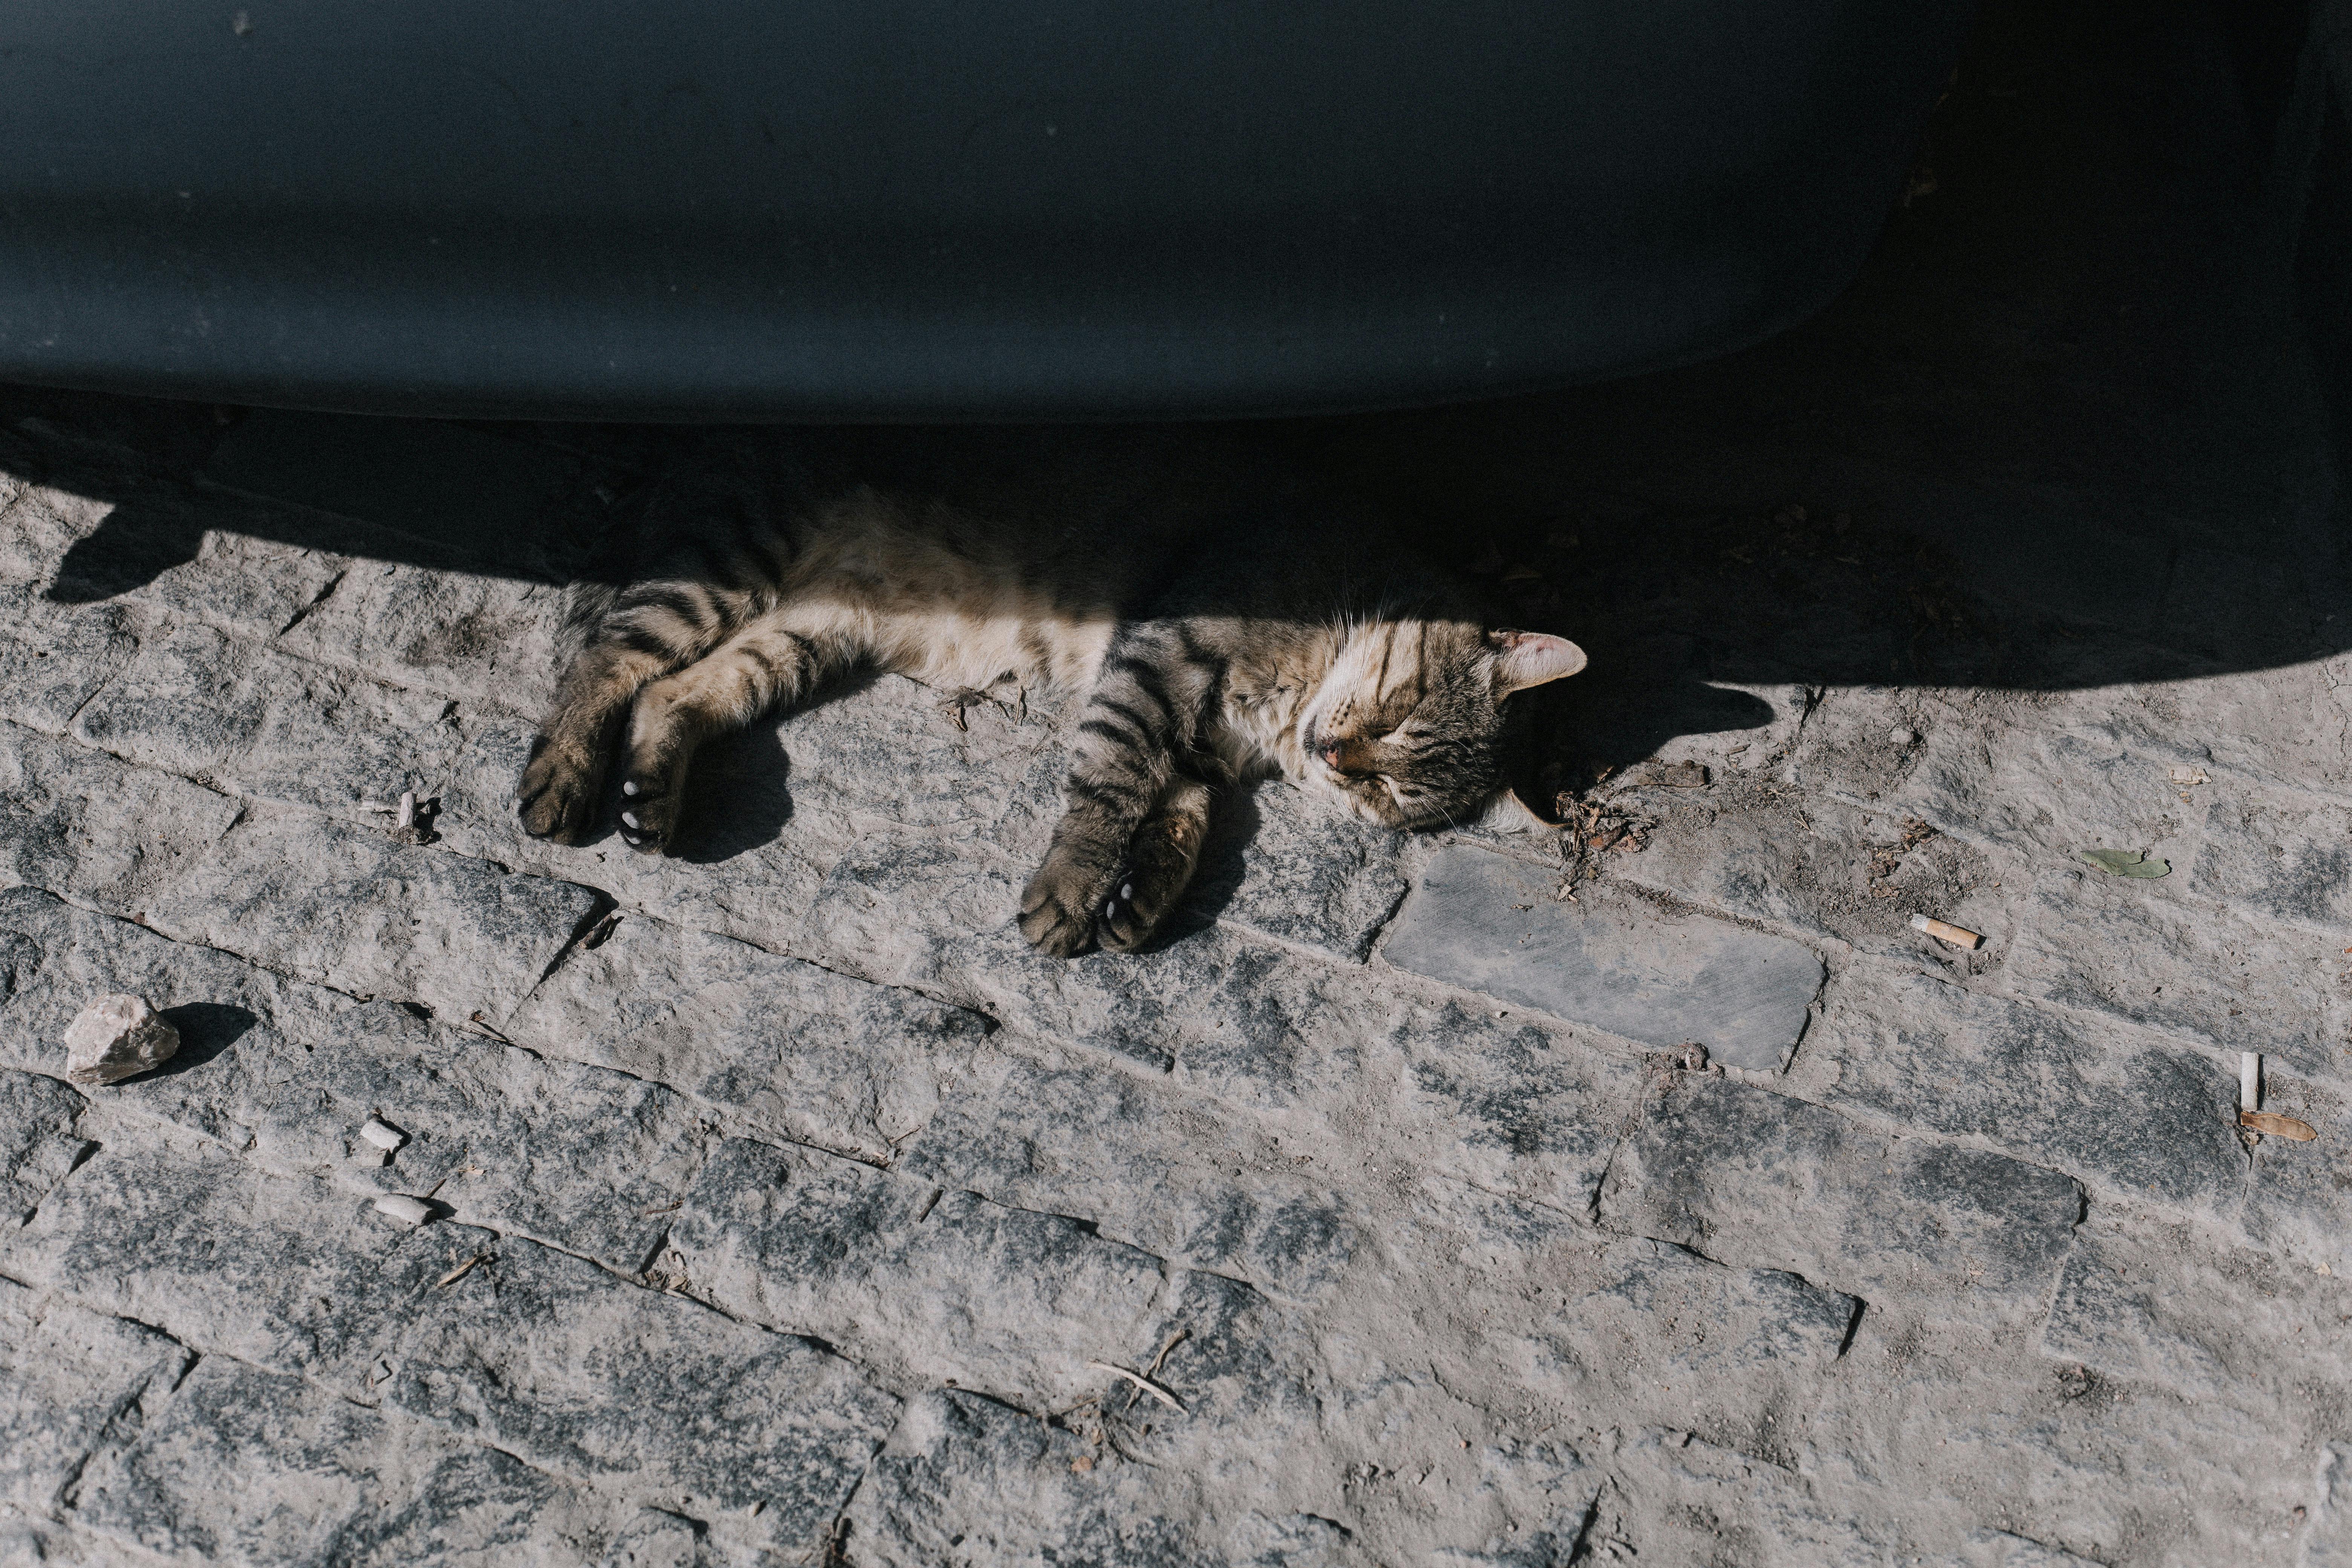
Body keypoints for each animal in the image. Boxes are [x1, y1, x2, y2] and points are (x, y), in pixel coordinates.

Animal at [513, 435, 1580, 964]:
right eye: (1401, 713)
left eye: (1390, 795)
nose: (1336, 759)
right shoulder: (1155, 664)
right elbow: (1108, 794)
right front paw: (1068, 894)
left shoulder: (1187, 737)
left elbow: (1180, 821)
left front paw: (1137, 901)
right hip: (731, 556)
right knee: (606, 657)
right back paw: (559, 782)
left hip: (805, 634)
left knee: (674, 693)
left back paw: (649, 802)